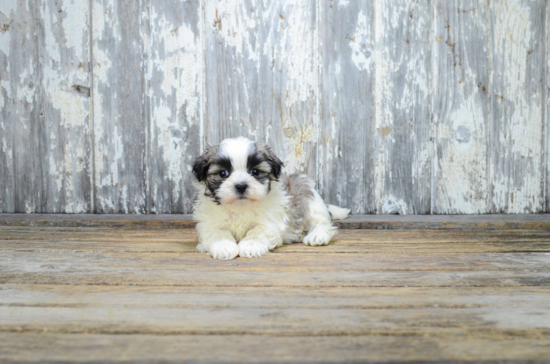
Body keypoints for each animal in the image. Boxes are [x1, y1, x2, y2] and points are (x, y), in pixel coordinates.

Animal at [192, 136, 352, 258]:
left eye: (255, 172)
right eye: (223, 173)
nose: (241, 186)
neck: (240, 207)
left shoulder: (269, 221)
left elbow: (257, 231)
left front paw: (251, 245)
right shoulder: (210, 223)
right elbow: (218, 233)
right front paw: (224, 247)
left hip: (309, 198)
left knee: (321, 223)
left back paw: (317, 236)